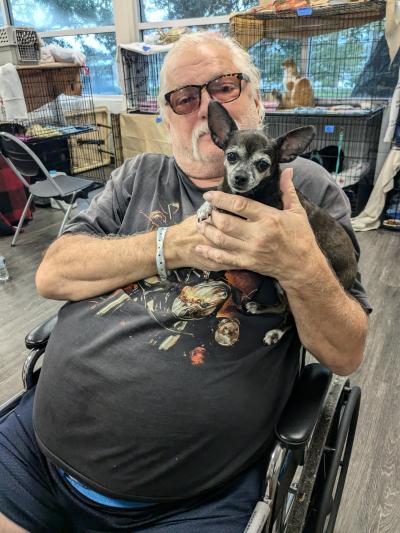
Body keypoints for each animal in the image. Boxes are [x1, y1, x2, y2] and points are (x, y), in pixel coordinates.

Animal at [198, 103, 358, 344]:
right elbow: (218, 193)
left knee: (291, 317)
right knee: (283, 306)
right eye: (232, 156)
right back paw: (259, 307)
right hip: (280, 285)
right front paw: (206, 206)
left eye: (263, 164)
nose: (240, 177)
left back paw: (276, 331)